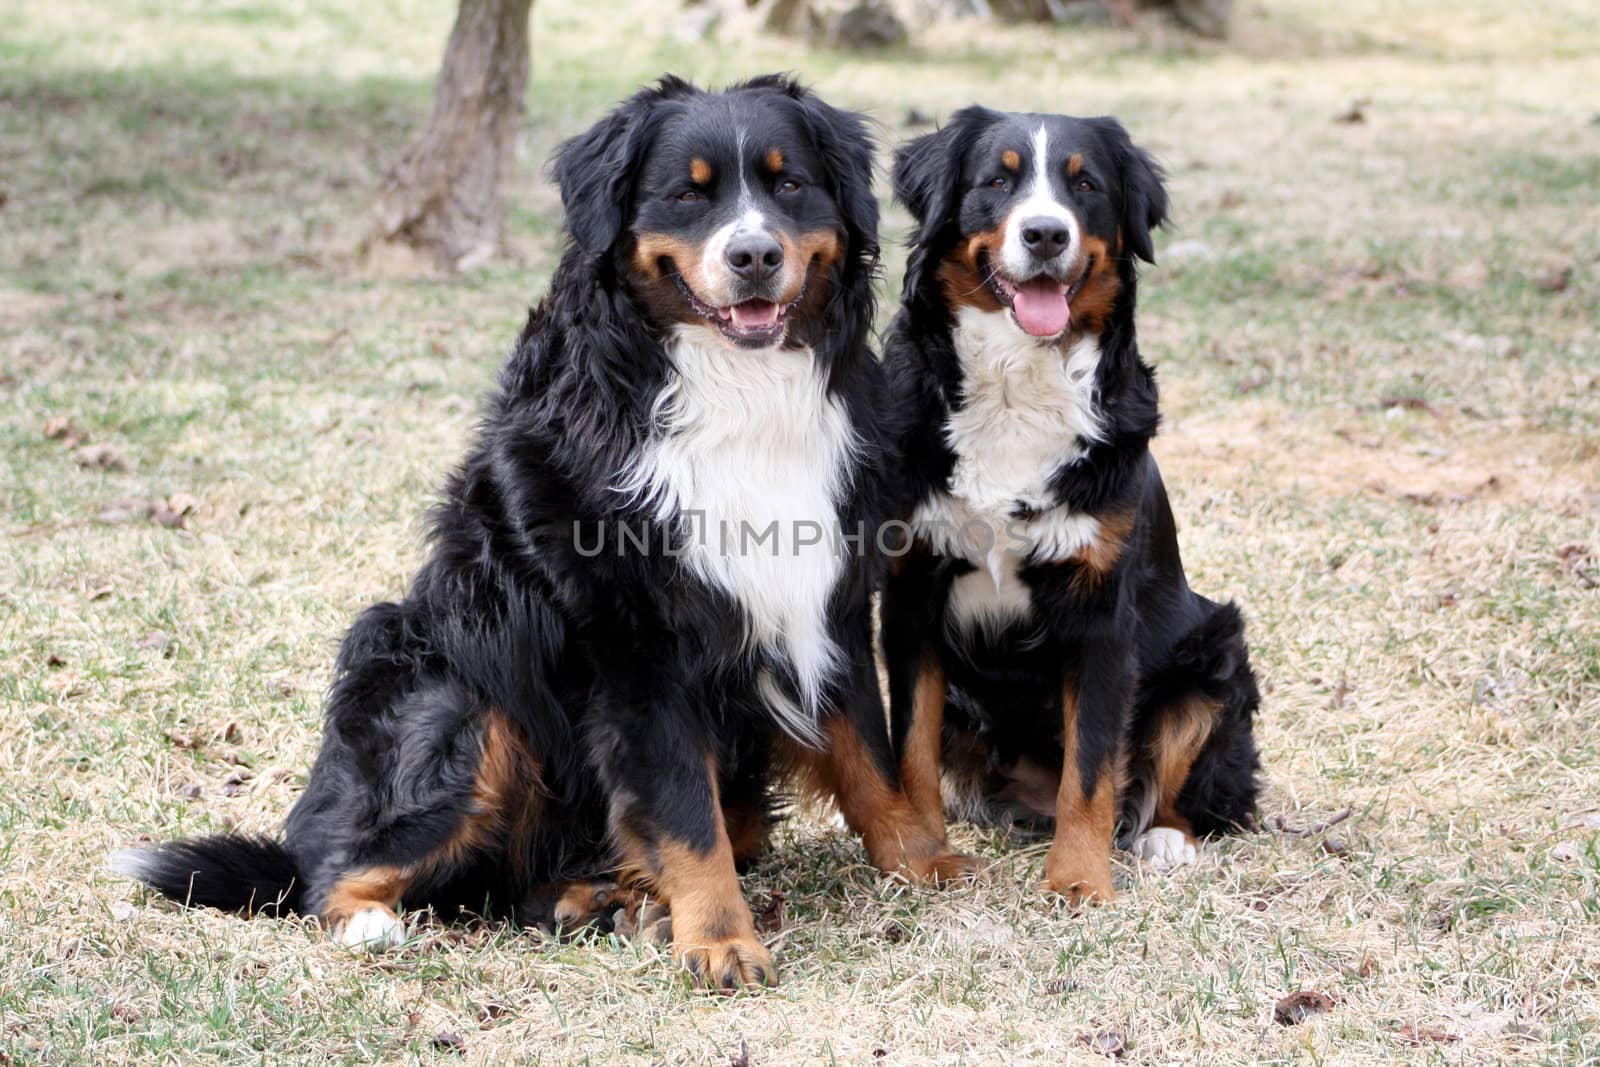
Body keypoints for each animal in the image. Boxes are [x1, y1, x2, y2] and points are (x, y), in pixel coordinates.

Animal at [116, 75, 960, 991]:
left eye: (790, 185)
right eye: (687, 195)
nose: (755, 256)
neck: (736, 390)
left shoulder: (825, 592)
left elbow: (864, 748)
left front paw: (923, 859)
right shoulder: (637, 639)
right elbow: (686, 810)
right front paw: (720, 939)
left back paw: (600, 898)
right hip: (456, 687)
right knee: (336, 869)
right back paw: (386, 920)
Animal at [876, 108, 1260, 908]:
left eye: (1085, 186)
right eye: (998, 180)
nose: (1046, 234)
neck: (1017, 389)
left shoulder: (1101, 611)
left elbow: (1091, 768)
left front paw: (1079, 881)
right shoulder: (912, 593)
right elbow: (911, 749)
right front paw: (925, 854)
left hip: (1213, 651)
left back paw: (1165, 837)